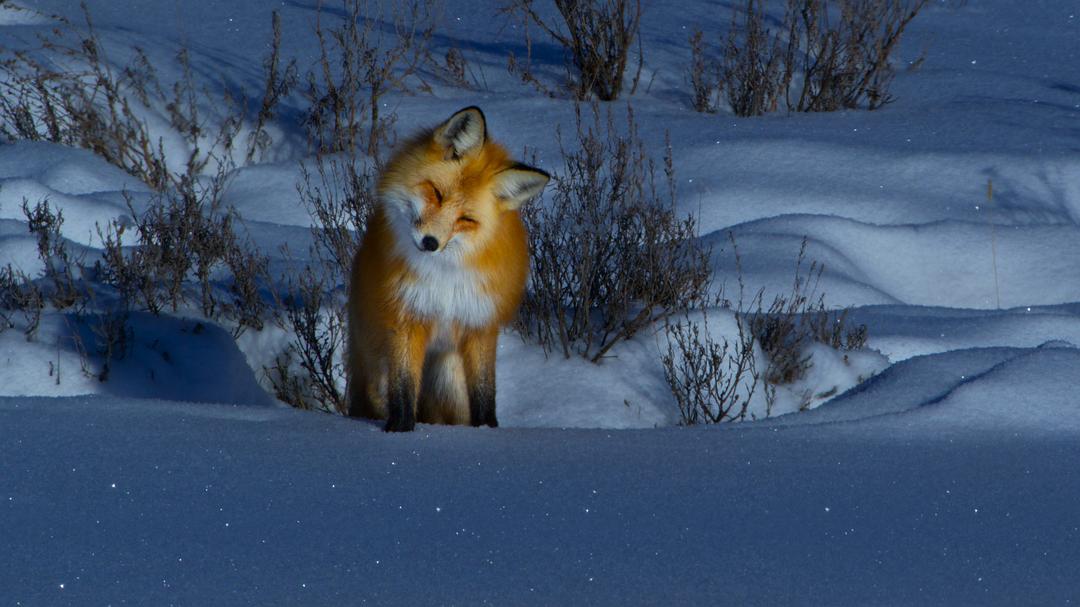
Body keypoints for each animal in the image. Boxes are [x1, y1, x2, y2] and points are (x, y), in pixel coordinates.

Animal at [345, 107, 548, 429]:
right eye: (437, 194)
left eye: (466, 220)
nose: (430, 243)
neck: (444, 274)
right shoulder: (406, 317)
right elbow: (403, 390)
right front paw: (400, 430)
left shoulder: (479, 324)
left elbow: (485, 394)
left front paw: (487, 430)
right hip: (376, 373)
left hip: (449, 378)